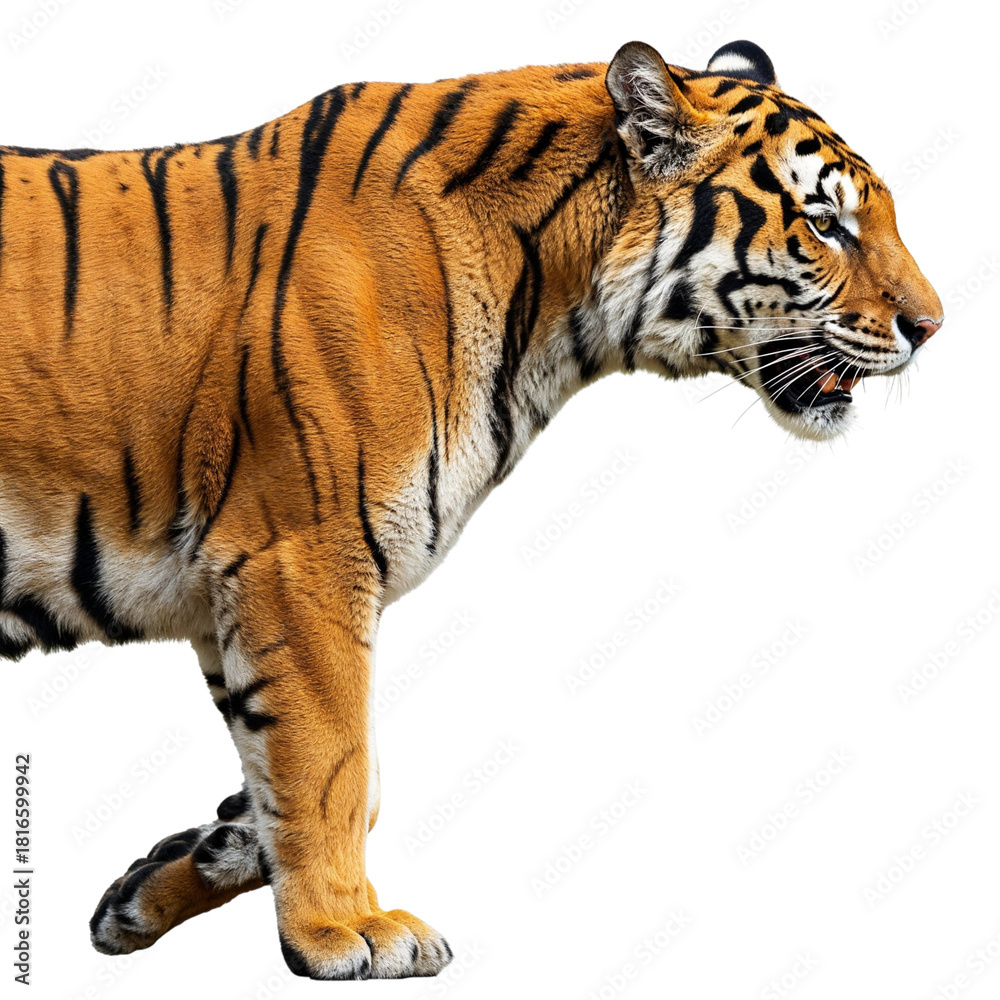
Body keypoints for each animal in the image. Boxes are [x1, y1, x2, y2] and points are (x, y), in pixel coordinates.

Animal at [2, 38, 942, 980]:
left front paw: (161, 882)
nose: (933, 326)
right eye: (825, 223)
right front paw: (345, 930)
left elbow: (335, 772)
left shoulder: (226, 588)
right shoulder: (301, 558)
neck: (556, 303)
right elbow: (330, 761)